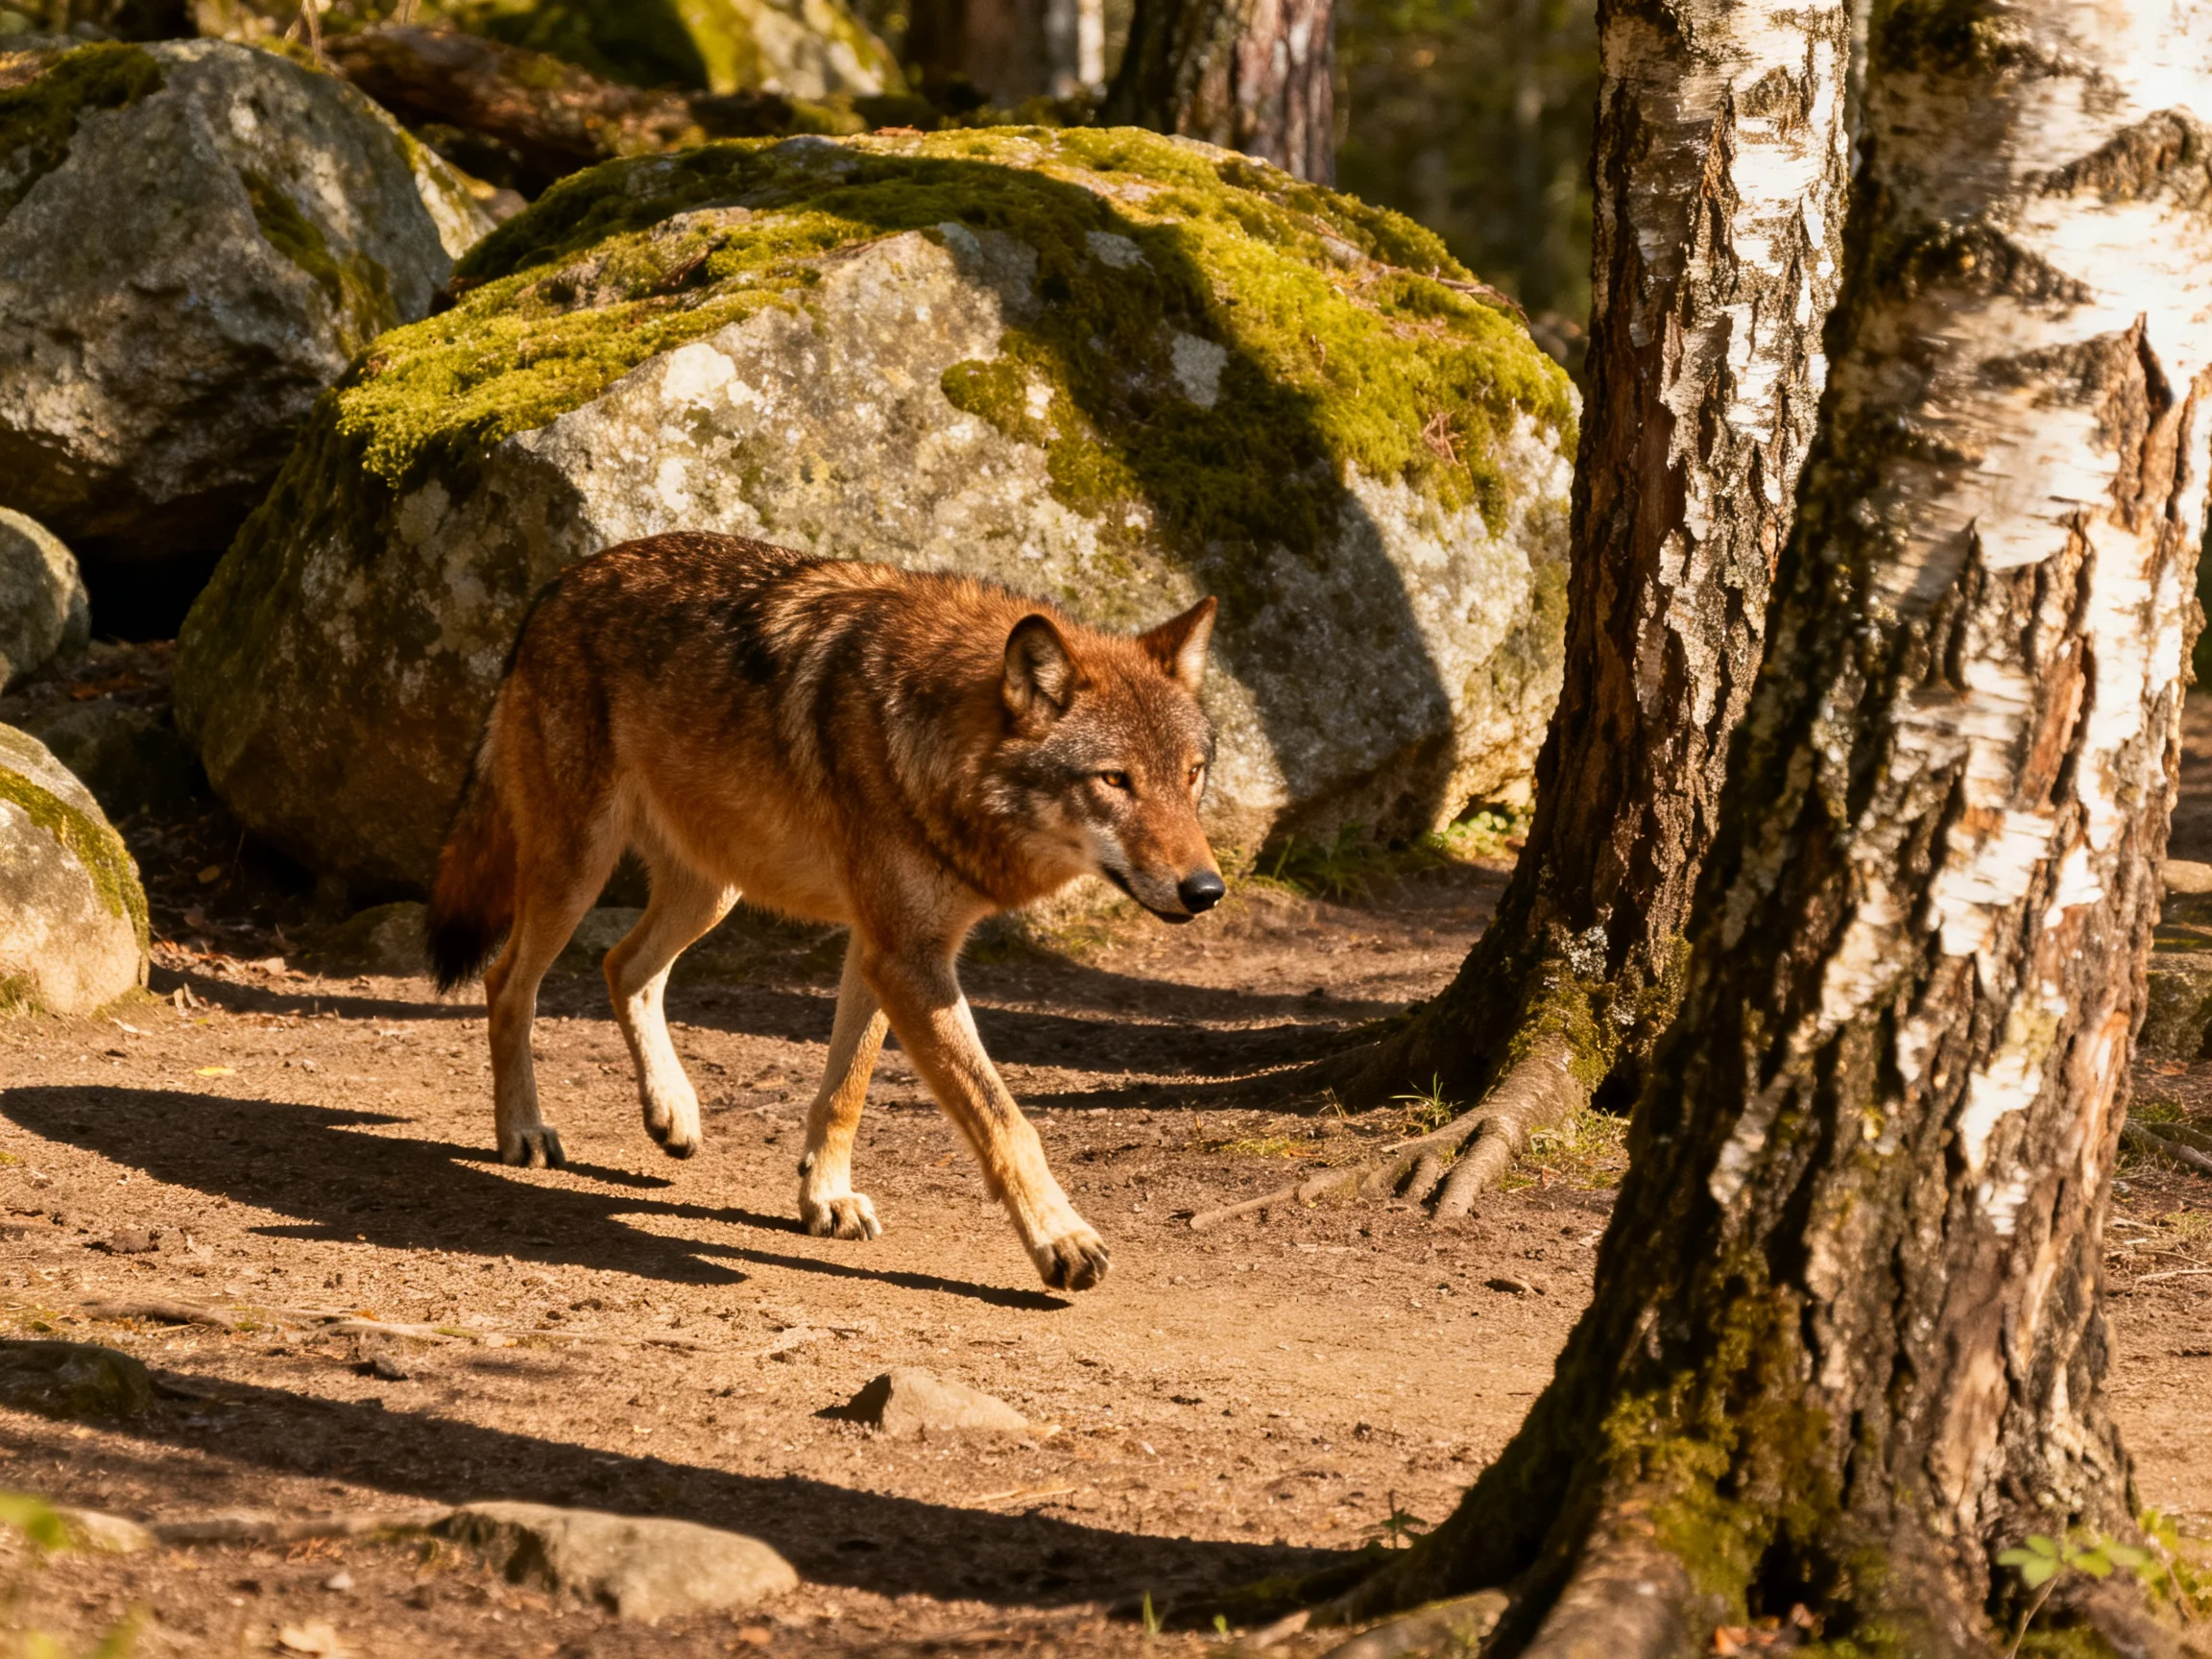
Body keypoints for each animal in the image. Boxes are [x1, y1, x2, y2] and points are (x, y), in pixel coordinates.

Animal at [424, 531, 1224, 1292]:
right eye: (1114, 780)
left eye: (1191, 775)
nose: (1207, 890)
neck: (931, 741)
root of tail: (561, 582)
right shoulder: (906, 957)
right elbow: (1004, 1119)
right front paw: (1062, 1240)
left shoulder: (882, 948)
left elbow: (848, 1089)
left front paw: (825, 1198)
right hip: (577, 869)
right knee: (508, 982)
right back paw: (524, 1130)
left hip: (714, 889)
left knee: (624, 966)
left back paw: (672, 1111)